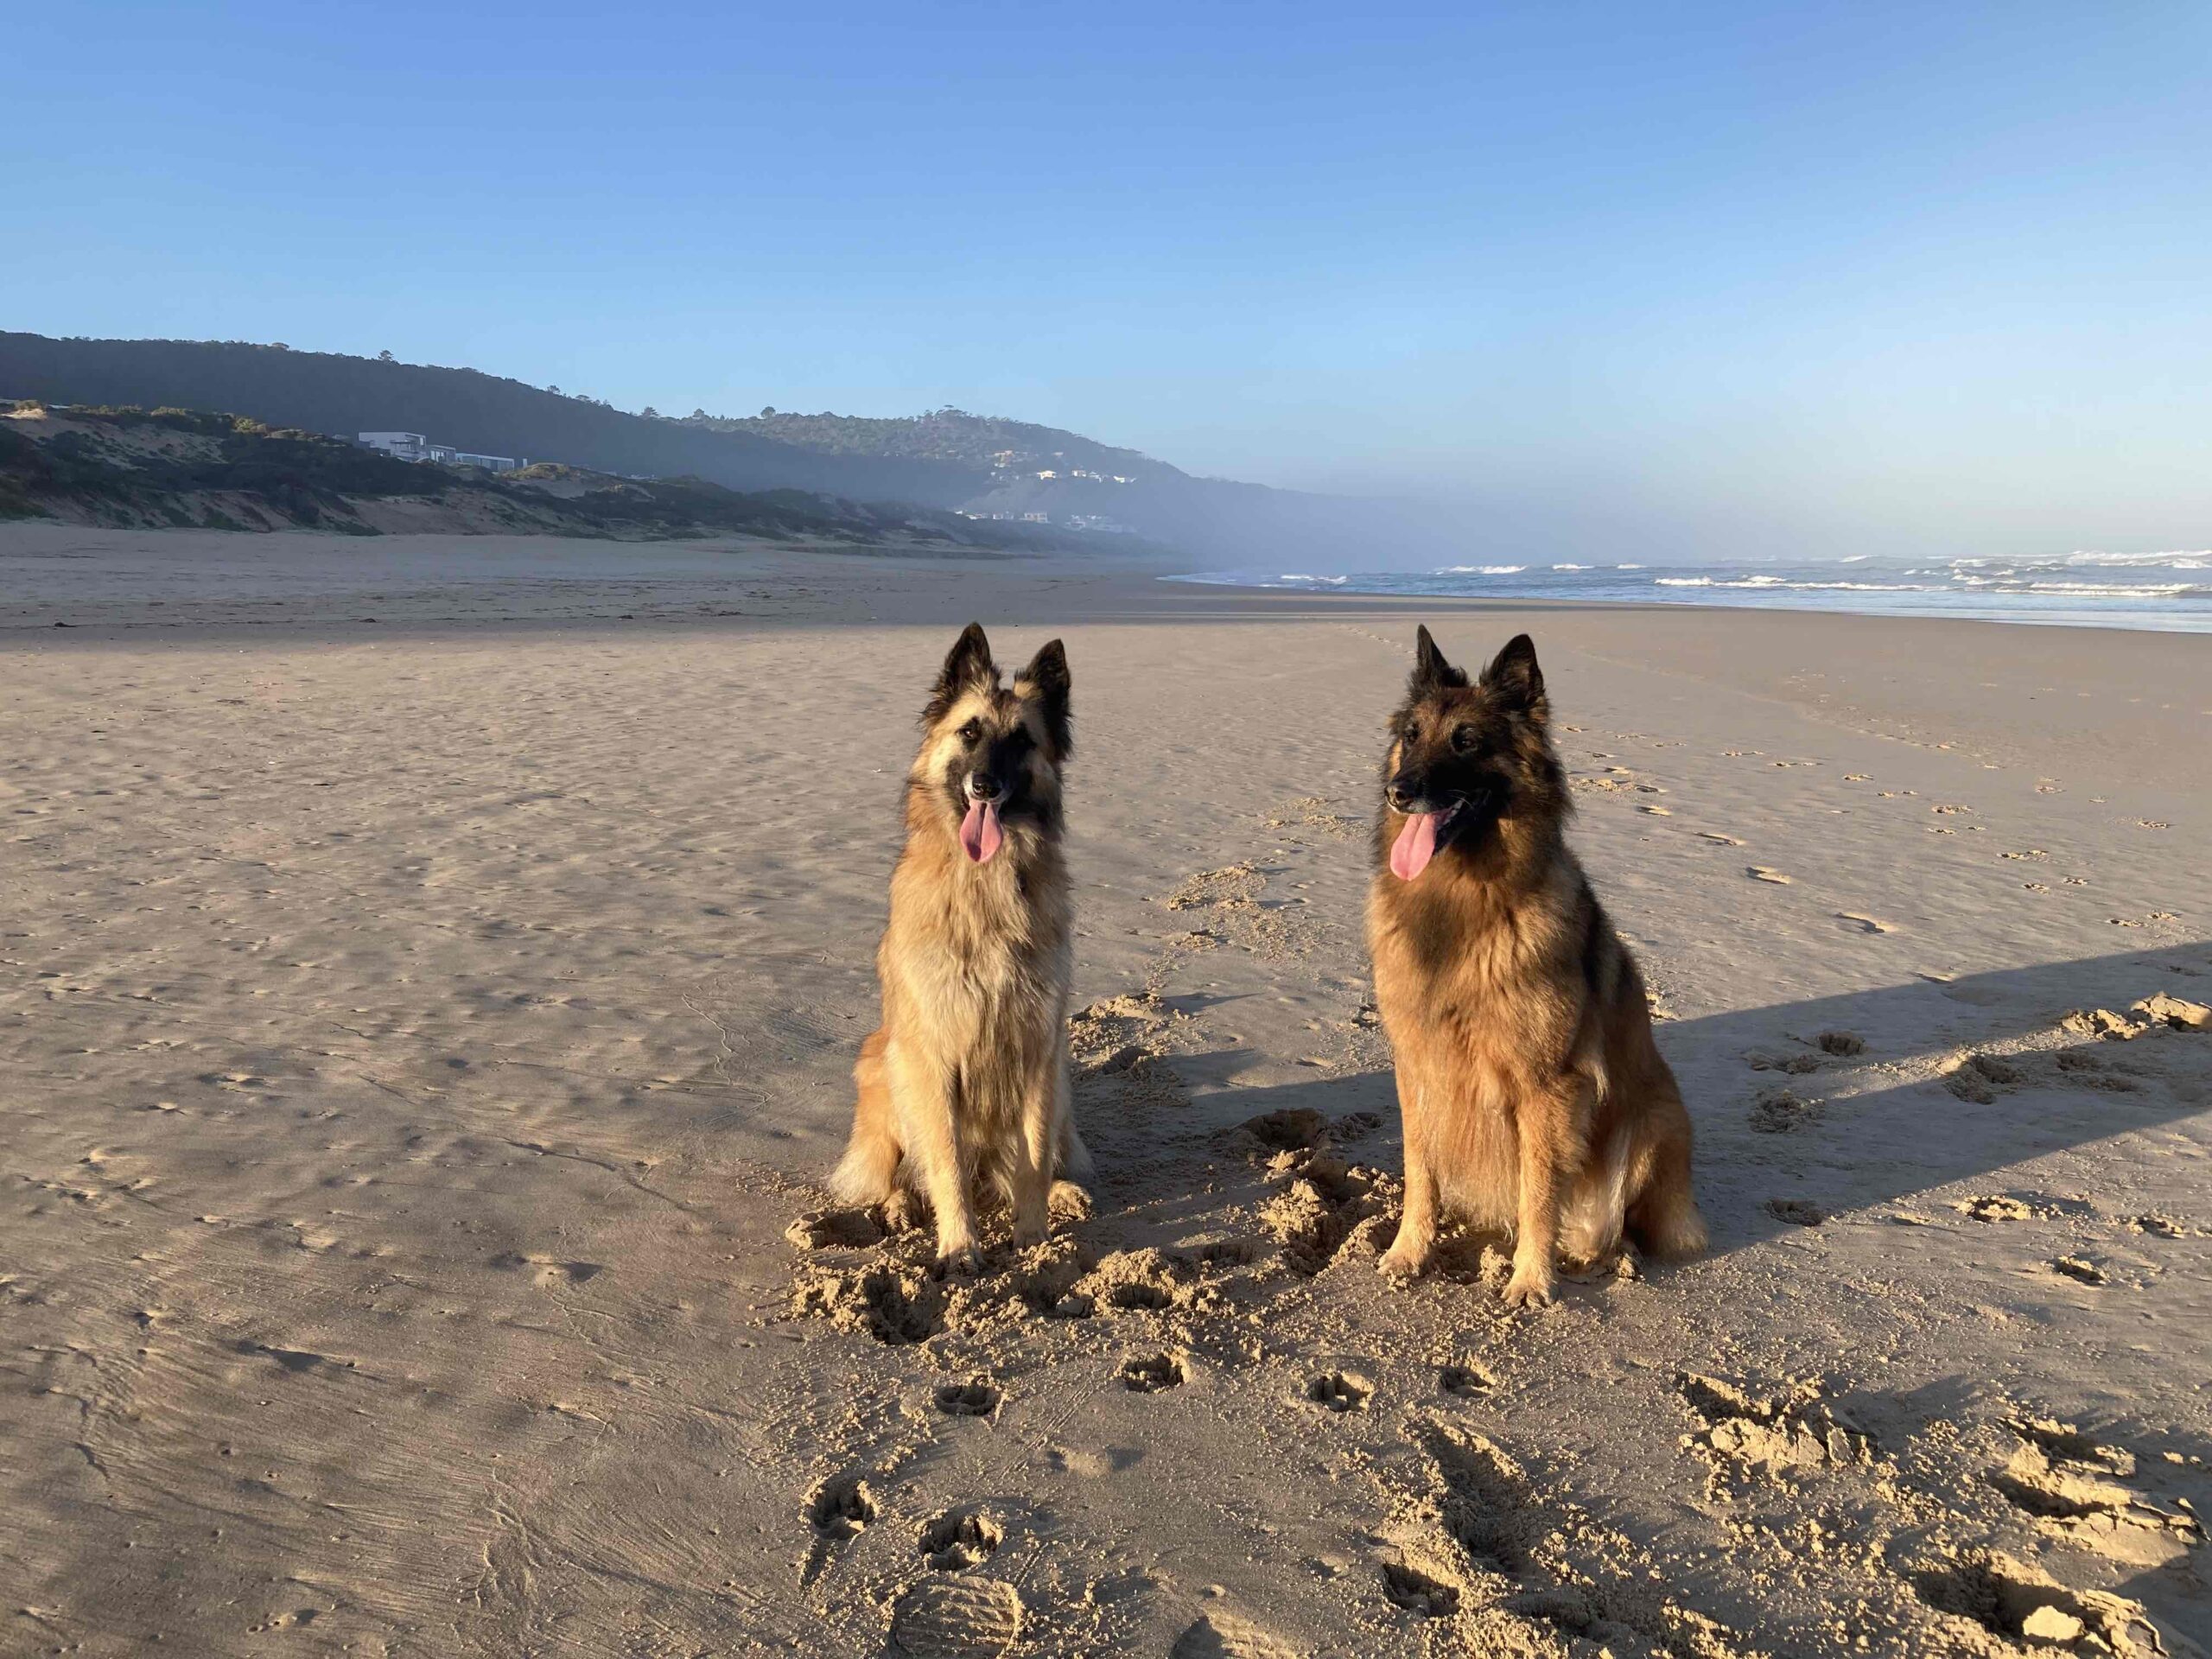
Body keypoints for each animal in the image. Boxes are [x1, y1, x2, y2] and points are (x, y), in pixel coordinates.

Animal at [831, 623, 1092, 1274]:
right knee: (899, 1170)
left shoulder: (1039, 1049)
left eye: (1022, 741)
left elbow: (1033, 1152)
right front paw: (959, 1246)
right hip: (888, 1068)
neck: (986, 886)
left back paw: (1064, 1190)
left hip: (1063, 1082)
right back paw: (900, 1207)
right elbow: (945, 1160)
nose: (985, 786)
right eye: (969, 732)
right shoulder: (935, 1055)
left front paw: (1033, 1235)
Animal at [1362, 628, 1707, 1309]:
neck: (1461, 900)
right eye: (1411, 734)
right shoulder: (1416, 1068)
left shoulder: (1547, 1087)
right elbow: (1420, 1173)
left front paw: (1529, 1278)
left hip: (1651, 1124)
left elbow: (1538, 1191)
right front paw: (1408, 1252)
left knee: (1613, 1227)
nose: (1399, 792)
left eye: (1466, 741)